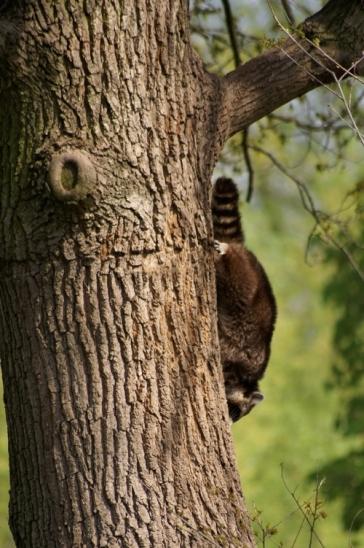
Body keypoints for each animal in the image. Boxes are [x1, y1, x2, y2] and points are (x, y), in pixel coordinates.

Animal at [213, 178, 276, 422]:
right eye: (236, 411)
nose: (230, 422)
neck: (244, 381)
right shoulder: (236, 357)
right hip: (245, 282)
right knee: (236, 273)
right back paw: (227, 251)